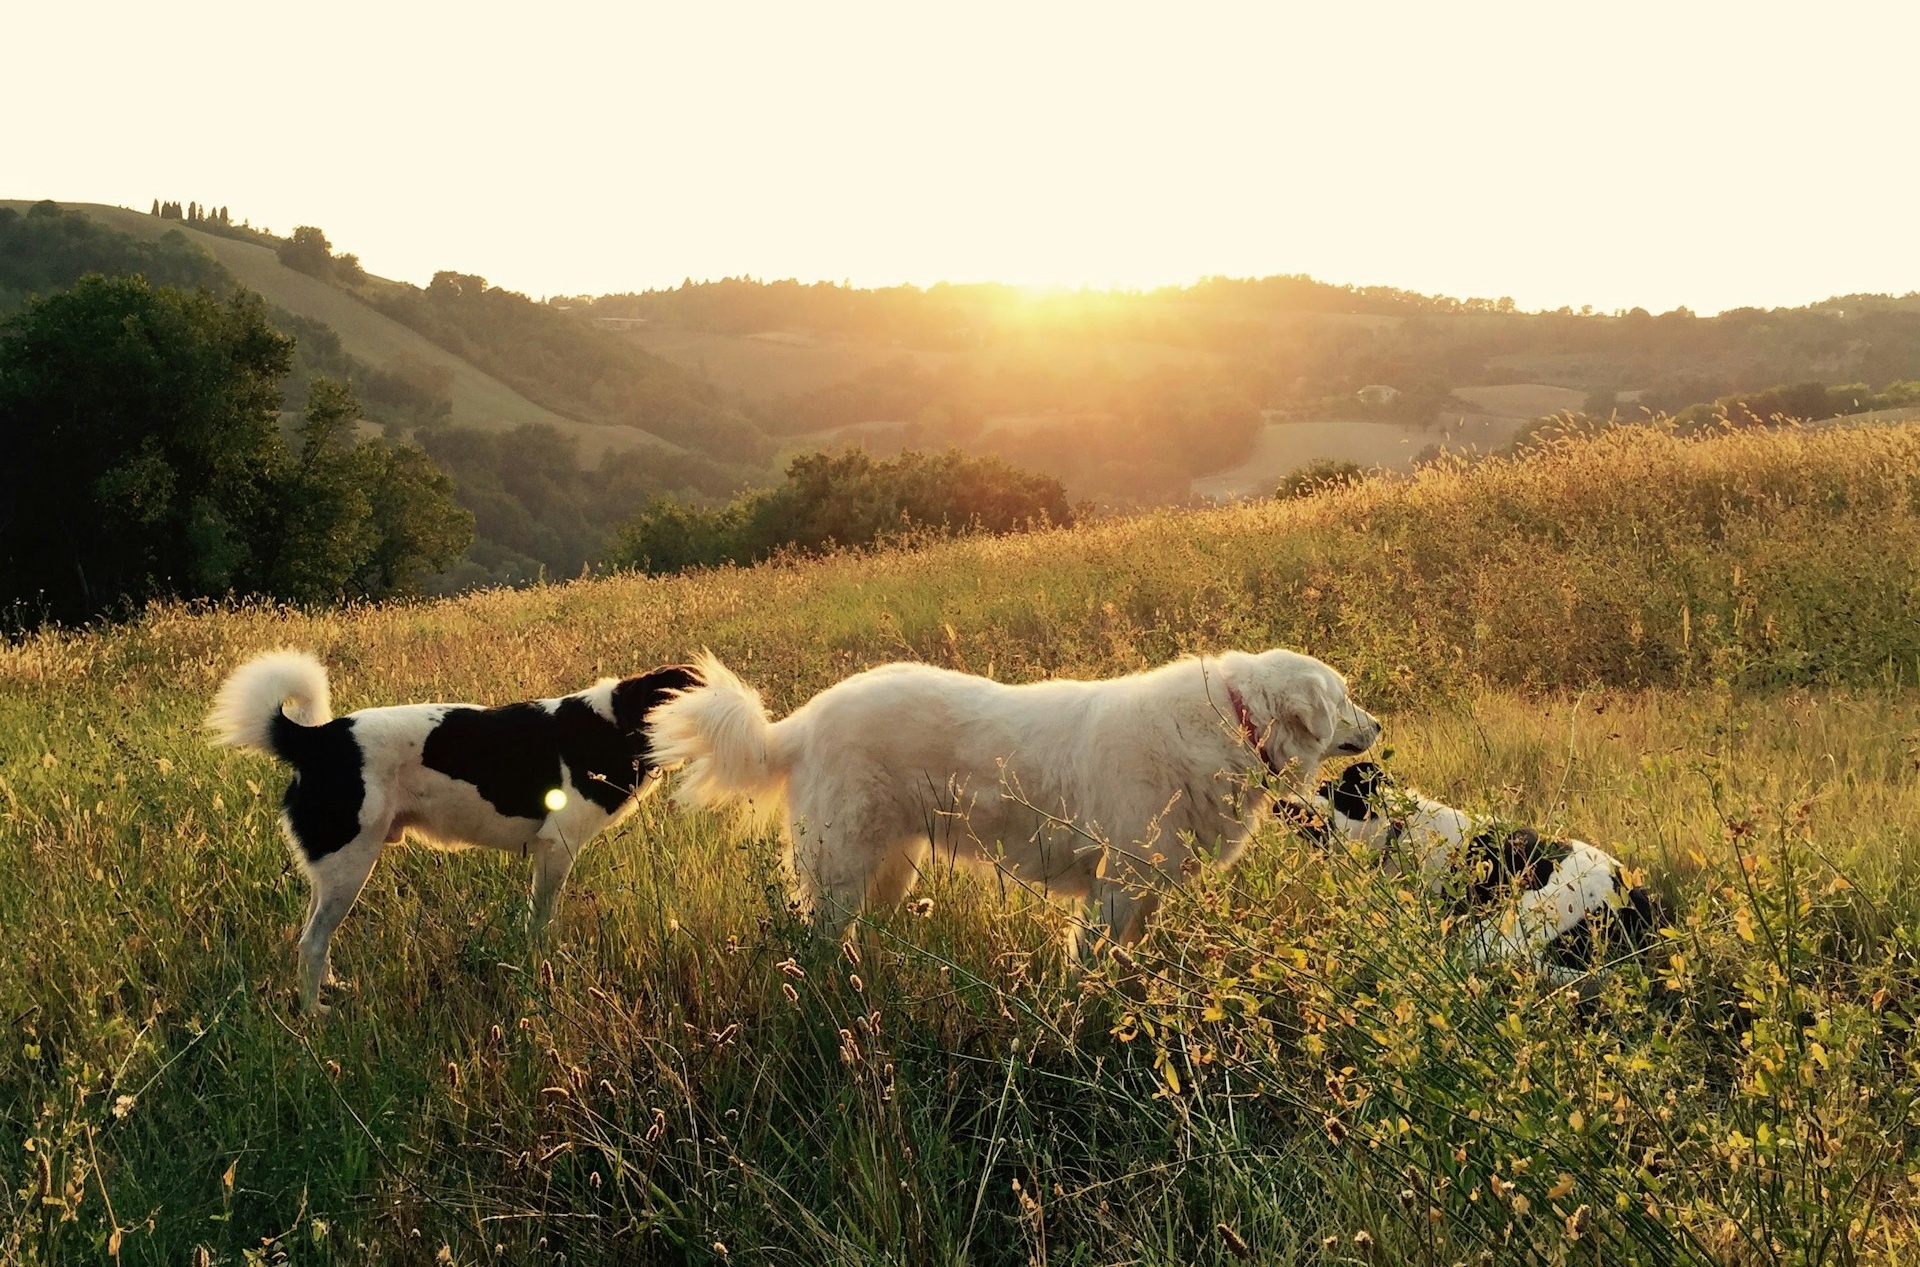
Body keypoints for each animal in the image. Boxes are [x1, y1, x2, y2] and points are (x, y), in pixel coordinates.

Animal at [208, 652, 698, 1005]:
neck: (617, 723)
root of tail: (319, 739)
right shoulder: (556, 848)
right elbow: (540, 922)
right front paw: (541, 968)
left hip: (333, 869)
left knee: (316, 934)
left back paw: (330, 989)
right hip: (351, 864)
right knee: (311, 942)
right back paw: (314, 1014)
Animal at [648, 652, 1382, 940]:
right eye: (1345, 698)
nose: (1379, 727)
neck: (1231, 722)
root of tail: (800, 722)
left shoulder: (1147, 891)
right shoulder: (1116, 889)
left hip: (888, 867)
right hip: (840, 871)